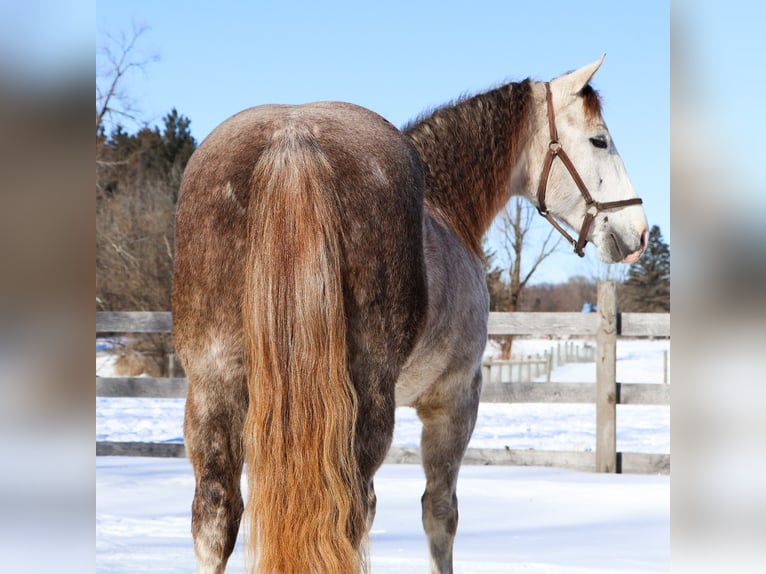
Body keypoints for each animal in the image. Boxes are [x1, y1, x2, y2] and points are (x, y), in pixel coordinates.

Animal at [172, 55, 647, 574]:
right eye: (599, 140)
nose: (639, 231)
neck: (446, 205)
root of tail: (291, 137)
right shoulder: (455, 398)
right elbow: (439, 513)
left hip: (213, 386)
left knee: (215, 518)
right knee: (350, 518)